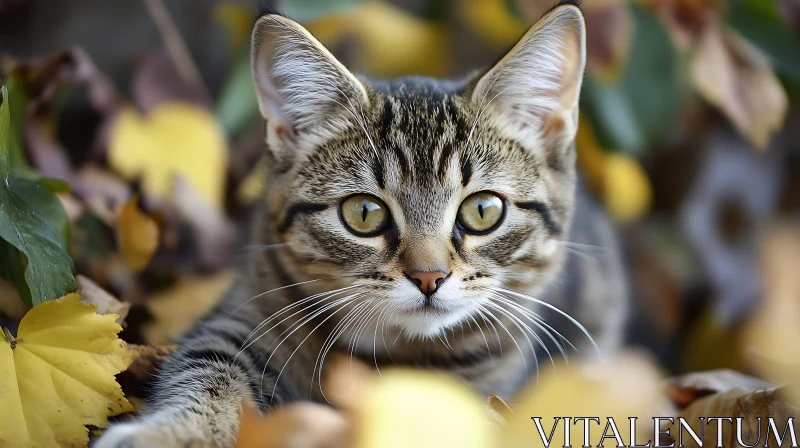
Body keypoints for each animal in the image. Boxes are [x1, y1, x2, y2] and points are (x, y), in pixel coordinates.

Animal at [97, 1, 628, 446]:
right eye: (364, 214)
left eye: (482, 211)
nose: (429, 277)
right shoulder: (244, 313)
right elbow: (208, 368)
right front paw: (172, 434)